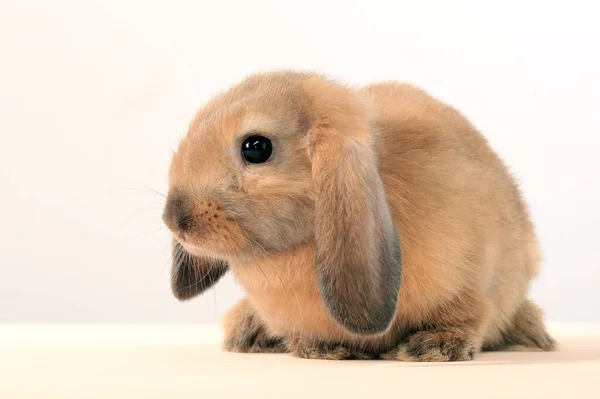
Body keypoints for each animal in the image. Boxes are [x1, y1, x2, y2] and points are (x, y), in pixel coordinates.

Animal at [162, 70, 556, 360]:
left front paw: (433, 346)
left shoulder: (474, 281)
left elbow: (470, 316)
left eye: (256, 148)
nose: (174, 220)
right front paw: (320, 348)